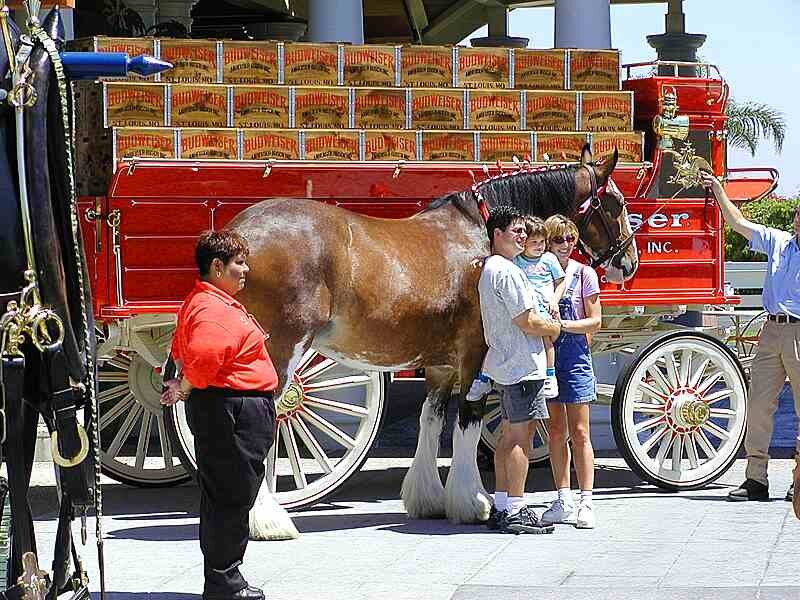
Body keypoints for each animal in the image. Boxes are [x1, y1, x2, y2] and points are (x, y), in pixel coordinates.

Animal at [228, 145, 639, 537]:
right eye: (617, 203)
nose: (628, 263)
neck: (480, 236)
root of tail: (238, 234)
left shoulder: (441, 364)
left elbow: (431, 419)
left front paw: (428, 499)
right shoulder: (474, 355)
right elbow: (468, 421)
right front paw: (474, 502)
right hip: (281, 351)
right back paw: (268, 520)